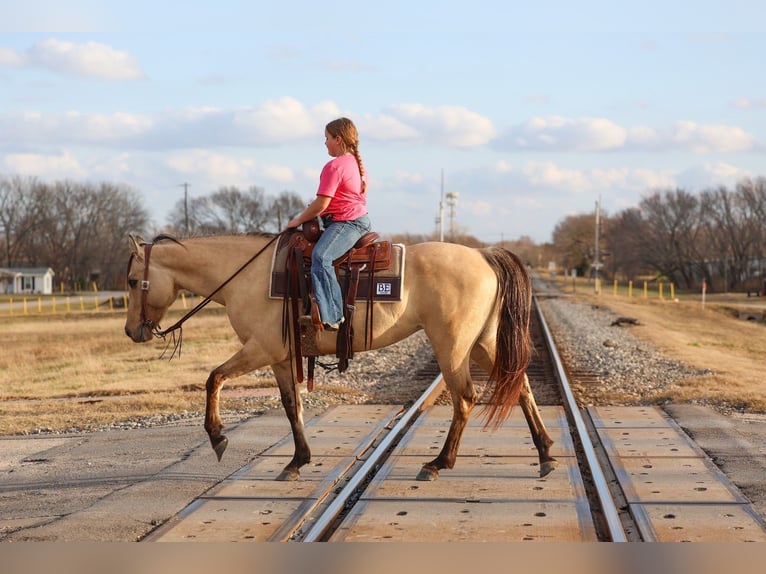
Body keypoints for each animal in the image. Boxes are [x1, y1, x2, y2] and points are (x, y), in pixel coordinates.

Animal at [124, 233, 558, 481]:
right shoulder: (282, 357)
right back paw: (545, 454)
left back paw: (439, 462)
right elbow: (292, 406)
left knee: (465, 398)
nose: (132, 331)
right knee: (520, 387)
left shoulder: (261, 348)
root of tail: (484, 256)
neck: (246, 275)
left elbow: (214, 377)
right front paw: (297, 461)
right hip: (483, 344)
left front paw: (217, 437)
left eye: (131, 281)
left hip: (452, 346)